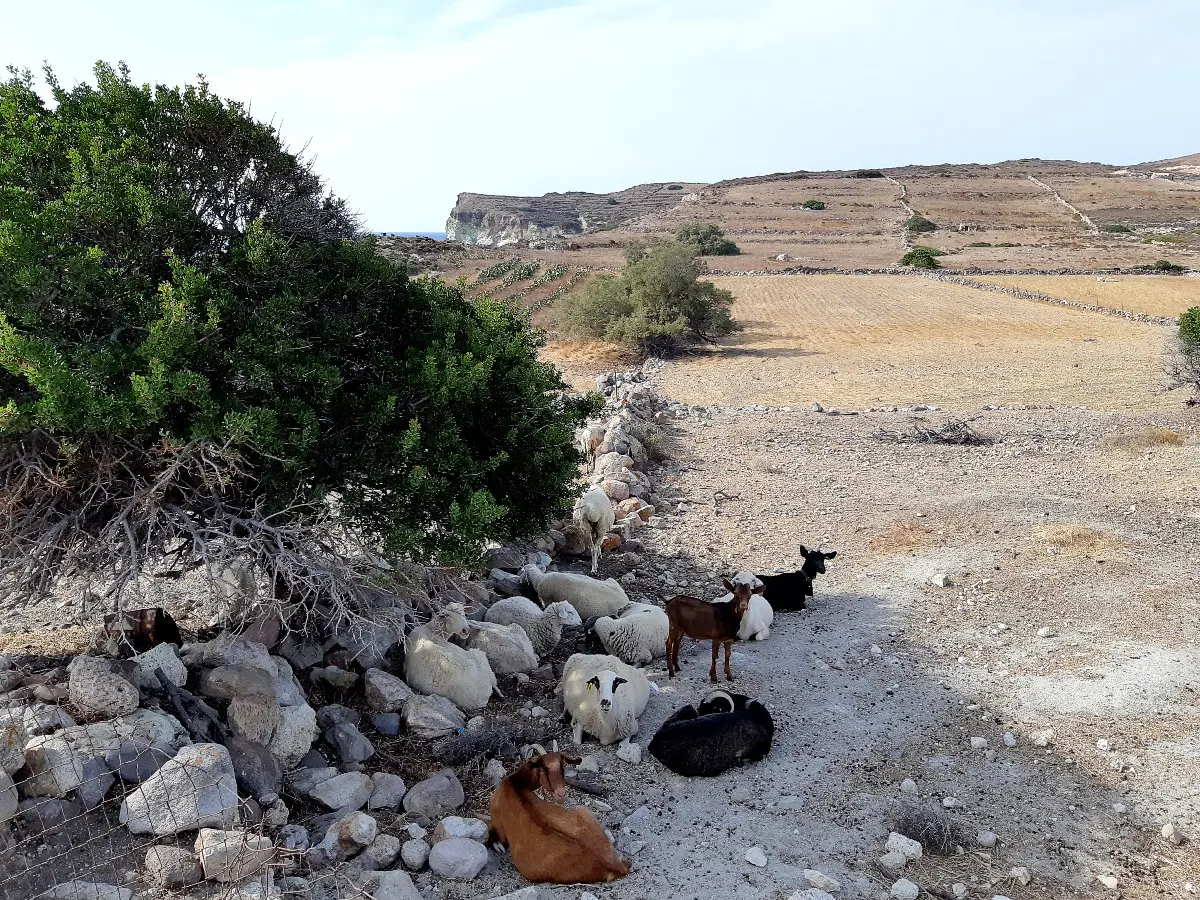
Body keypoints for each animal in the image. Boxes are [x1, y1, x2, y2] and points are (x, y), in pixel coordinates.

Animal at [488, 750, 629, 884]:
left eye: (562, 766)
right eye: (543, 769)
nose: (561, 794)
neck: (515, 783)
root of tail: (616, 866)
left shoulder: (496, 817)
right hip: (582, 811)